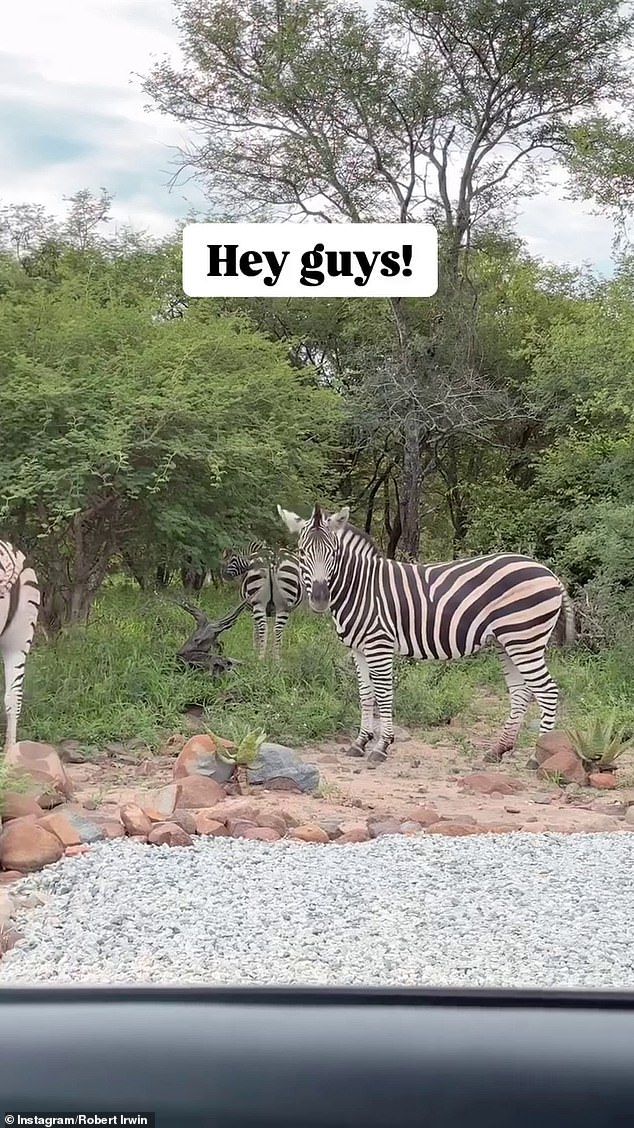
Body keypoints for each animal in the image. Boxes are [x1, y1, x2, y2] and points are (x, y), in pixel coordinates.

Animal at [275, 505, 573, 762]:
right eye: (302, 552)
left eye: (333, 553)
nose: (320, 598)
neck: (360, 588)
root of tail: (549, 573)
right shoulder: (358, 649)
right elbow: (366, 694)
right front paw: (360, 742)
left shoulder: (379, 644)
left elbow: (383, 693)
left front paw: (382, 746)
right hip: (507, 643)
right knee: (520, 693)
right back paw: (498, 750)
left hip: (525, 640)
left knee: (547, 692)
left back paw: (537, 757)